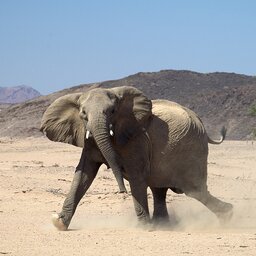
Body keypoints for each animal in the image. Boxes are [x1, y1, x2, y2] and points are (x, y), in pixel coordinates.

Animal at [40, 85, 234, 230]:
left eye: (112, 111)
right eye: (83, 114)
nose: (121, 191)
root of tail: (201, 123)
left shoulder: (136, 138)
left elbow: (136, 175)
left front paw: (144, 227)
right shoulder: (88, 140)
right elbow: (83, 174)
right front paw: (59, 222)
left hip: (192, 150)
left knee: (194, 190)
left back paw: (228, 215)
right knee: (159, 188)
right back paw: (163, 225)